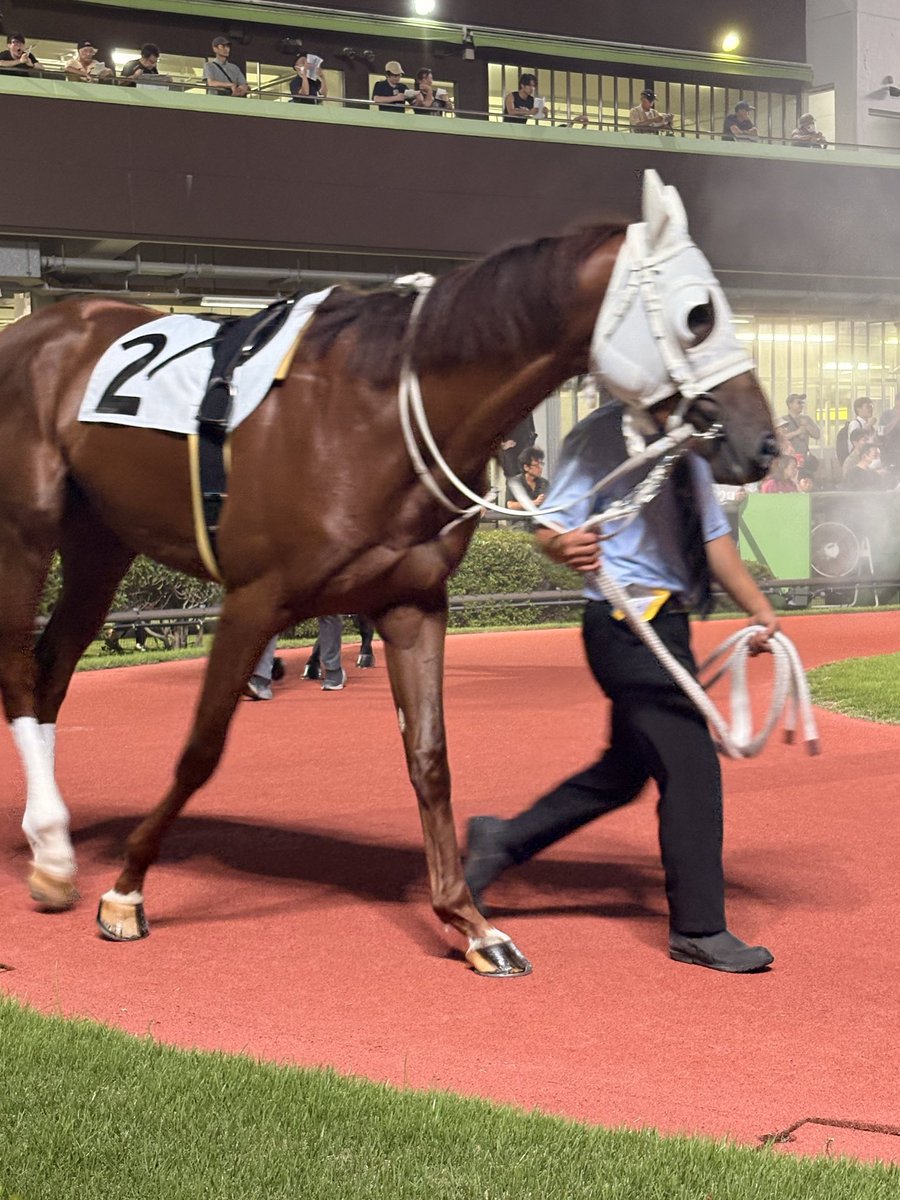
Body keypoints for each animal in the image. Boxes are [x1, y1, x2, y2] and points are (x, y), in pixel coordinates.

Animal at [0, 171, 776, 977]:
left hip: (102, 542)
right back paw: (54, 856)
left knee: (53, 670)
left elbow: (430, 758)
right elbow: (201, 749)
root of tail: (32, 328)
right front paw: (126, 890)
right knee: (21, 670)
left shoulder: (413, 603)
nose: (762, 443)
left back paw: (50, 845)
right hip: (26, 527)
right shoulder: (255, 599)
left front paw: (471, 922)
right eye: (698, 314)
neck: (374, 412)